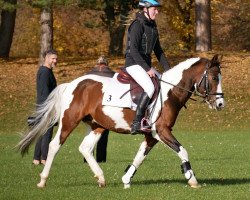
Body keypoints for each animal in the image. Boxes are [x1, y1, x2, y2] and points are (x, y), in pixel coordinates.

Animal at [17, 54, 225, 189]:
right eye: (214, 77)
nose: (221, 104)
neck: (170, 92)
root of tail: (74, 84)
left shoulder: (152, 135)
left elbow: (140, 156)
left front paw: (126, 179)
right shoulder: (161, 130)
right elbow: (182, 150)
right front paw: (191, 178)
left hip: (98, 125)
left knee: (85, 148)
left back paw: (101, 178)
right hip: (69, 121)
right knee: (54, 145)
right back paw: (43, 180)